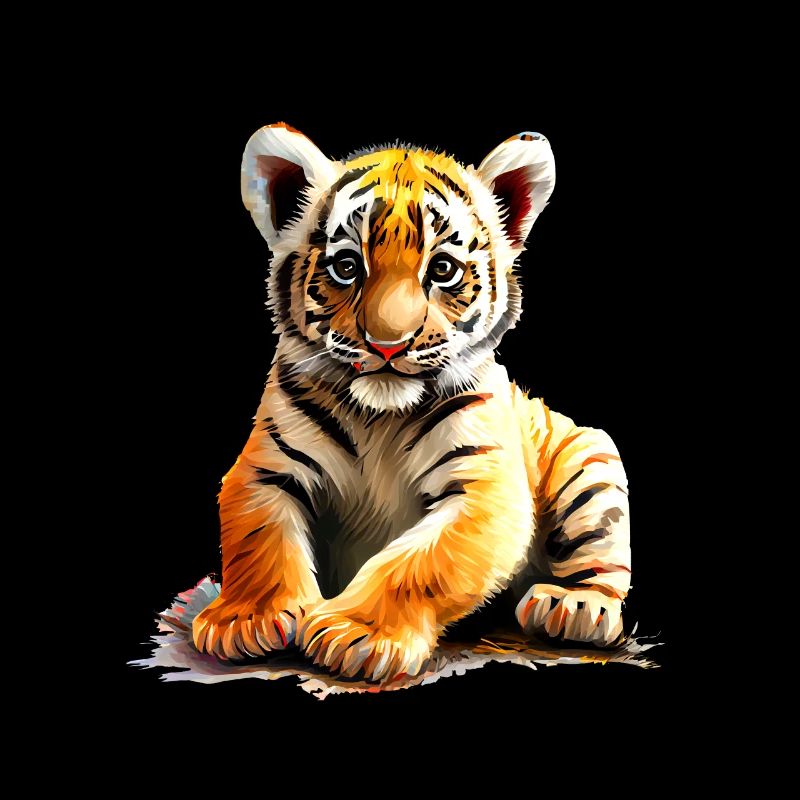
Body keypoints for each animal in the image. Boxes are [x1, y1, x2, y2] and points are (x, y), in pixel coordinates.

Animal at [191, 122, 632, 683]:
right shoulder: (265, 468)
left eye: (442, 269)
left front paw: (357, 634)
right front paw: (245, 619)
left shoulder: (483, 486)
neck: (378, 417)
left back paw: (574, 606)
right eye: (346, 266)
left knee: (601, 564)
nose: (387, 345)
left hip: (588, 459)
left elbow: (418, 563)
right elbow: (259, 538)